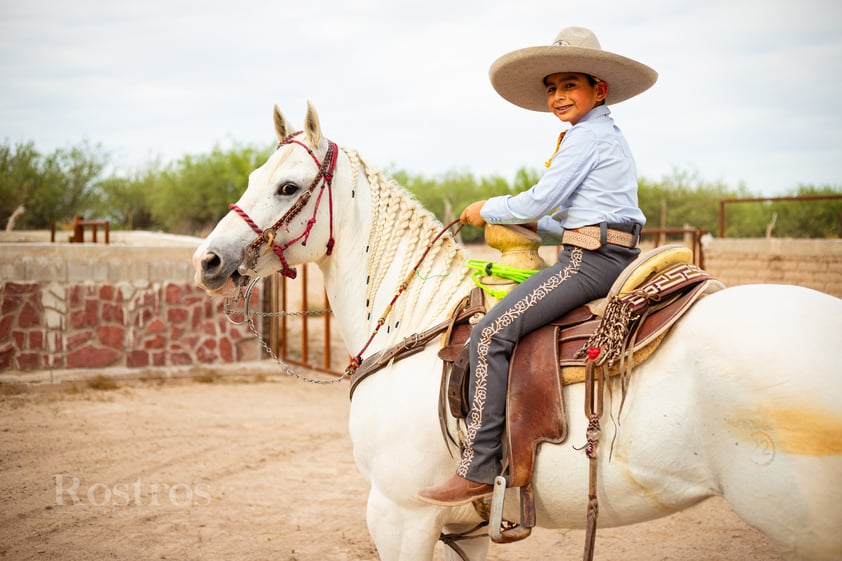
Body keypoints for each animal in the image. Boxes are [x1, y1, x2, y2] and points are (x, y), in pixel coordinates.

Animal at [194, 103, 840, 560]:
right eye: (253, 175)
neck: (415, 330)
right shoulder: (471, 530)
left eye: (287, 187)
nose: (209, 260)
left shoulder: (400, 515)